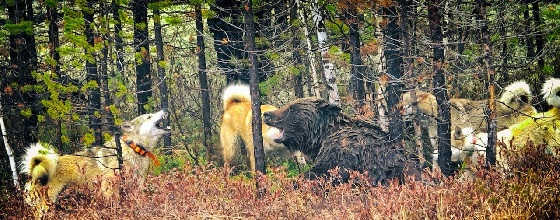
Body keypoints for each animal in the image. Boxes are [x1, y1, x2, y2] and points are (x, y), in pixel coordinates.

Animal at [21, 110, 168, 217]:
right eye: (149, 116)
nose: (164, 110)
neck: (132, 147)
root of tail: (33, 171)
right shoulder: (109, 189)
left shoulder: (135, 187)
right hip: (44, 207)